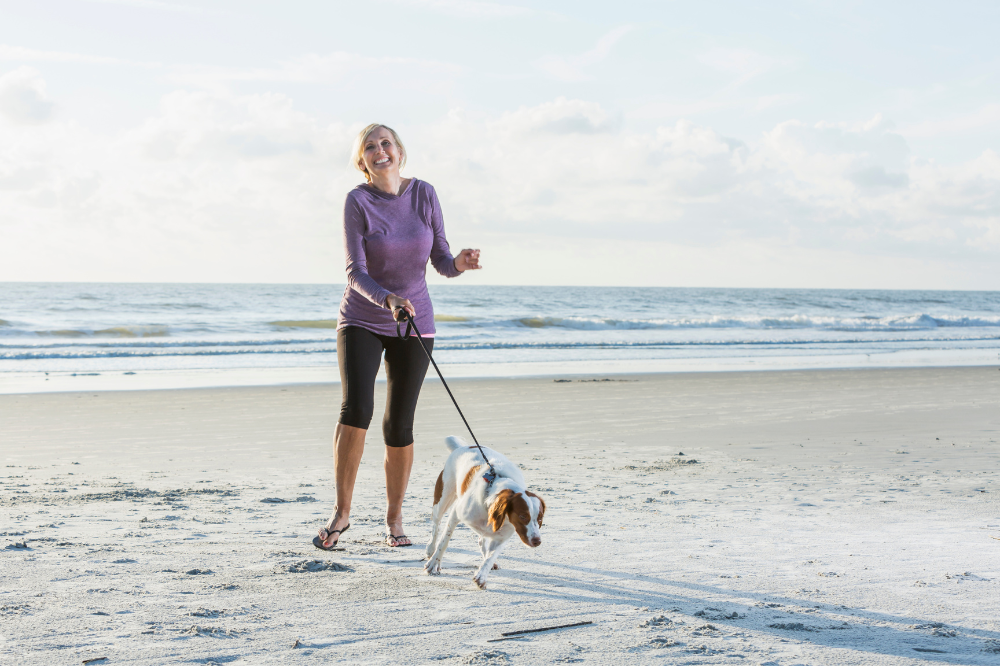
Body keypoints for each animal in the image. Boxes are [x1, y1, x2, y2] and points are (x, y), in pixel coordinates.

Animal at [422, 436, 548, 588]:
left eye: (540, 519)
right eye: (523, 516)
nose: (537, 541)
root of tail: (462, 447)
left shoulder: (502, 536)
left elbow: (491, 556)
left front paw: (482, 575)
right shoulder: (456, 514)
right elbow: (443, 541)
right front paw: (434, 564)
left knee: (482, 540)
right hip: (443, 499)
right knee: (436, 524)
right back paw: (430, 548)